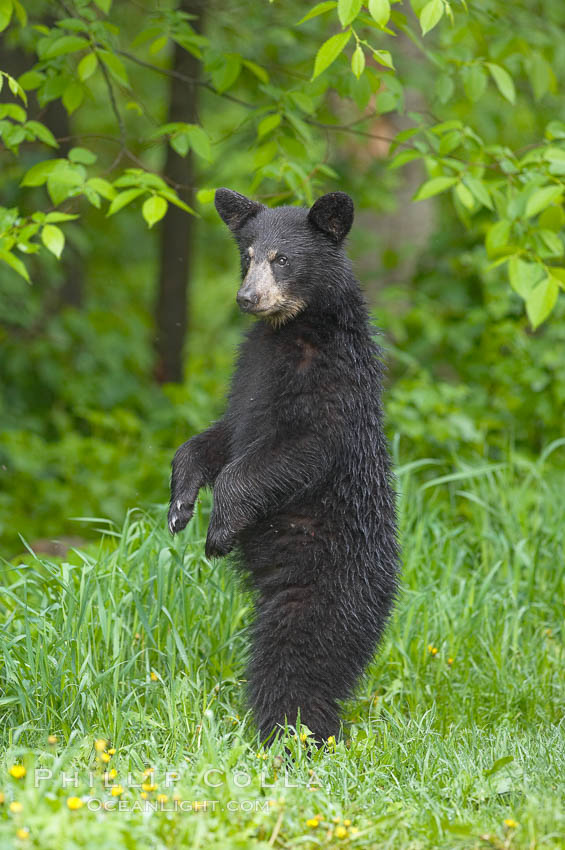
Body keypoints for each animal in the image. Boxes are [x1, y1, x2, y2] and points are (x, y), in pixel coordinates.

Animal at [166, 187, 396, 744]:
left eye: (283, 259)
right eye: (247, 256)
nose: (247, 298)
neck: (289, 331)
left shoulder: (332, 387)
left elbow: (293, 451)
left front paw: (219, 531)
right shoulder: (249, 374)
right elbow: (220, 437)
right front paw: (181, 504)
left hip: (326, 586)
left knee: (298, 659)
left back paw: (292, 734)